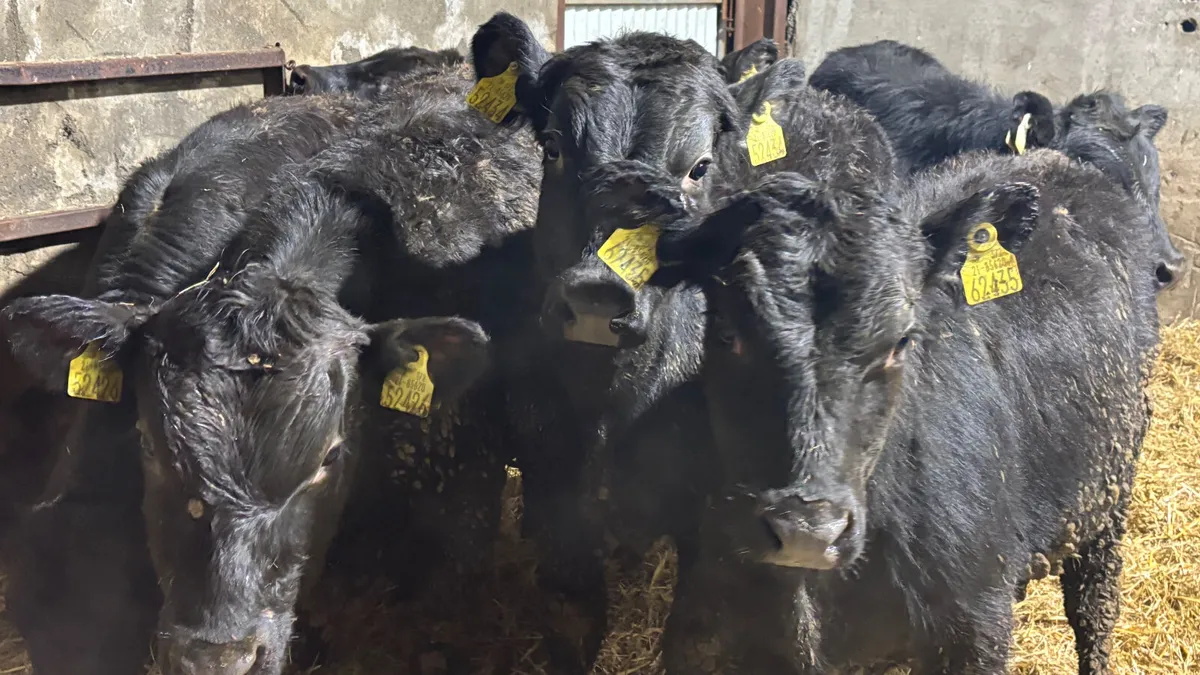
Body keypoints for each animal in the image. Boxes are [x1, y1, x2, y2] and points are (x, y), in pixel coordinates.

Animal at [468, 12, 892, 671]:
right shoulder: (554, 492)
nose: (597, 293)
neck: (611, 405)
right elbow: (573, 618)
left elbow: (691, 637)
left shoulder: (716, 522)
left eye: (699, 167)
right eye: (554, 146)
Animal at [646, 150, 1160, 673]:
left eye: (902, 341)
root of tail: (1057, 159)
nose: (807, 531)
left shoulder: (976, 629)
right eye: (726, 332)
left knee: (1094, 605)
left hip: (1108, 491)